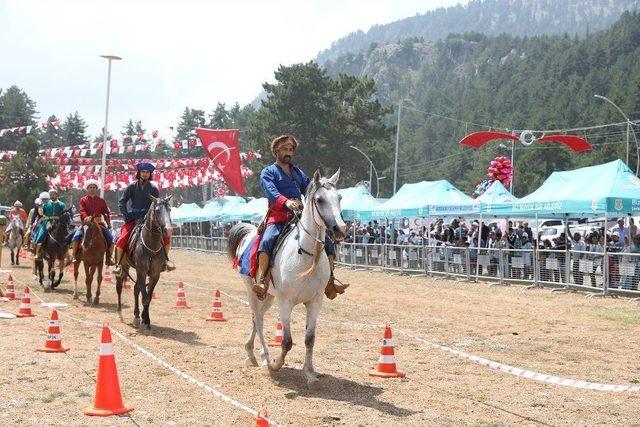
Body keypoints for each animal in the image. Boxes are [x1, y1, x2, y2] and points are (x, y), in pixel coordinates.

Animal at [225, 171, 344, 388]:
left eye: (339, 197)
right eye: (319, 200)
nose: (341, 229)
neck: (304, 256)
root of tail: (249, 235)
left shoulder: (315, 302)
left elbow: (309, 339)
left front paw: (310, 373)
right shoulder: (285, 302)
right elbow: (287, 342)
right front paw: (274, 364)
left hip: (268, 296)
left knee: (256, 318)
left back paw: (250, 353)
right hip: (251, 290)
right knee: (259, 320)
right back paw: (264, 358)